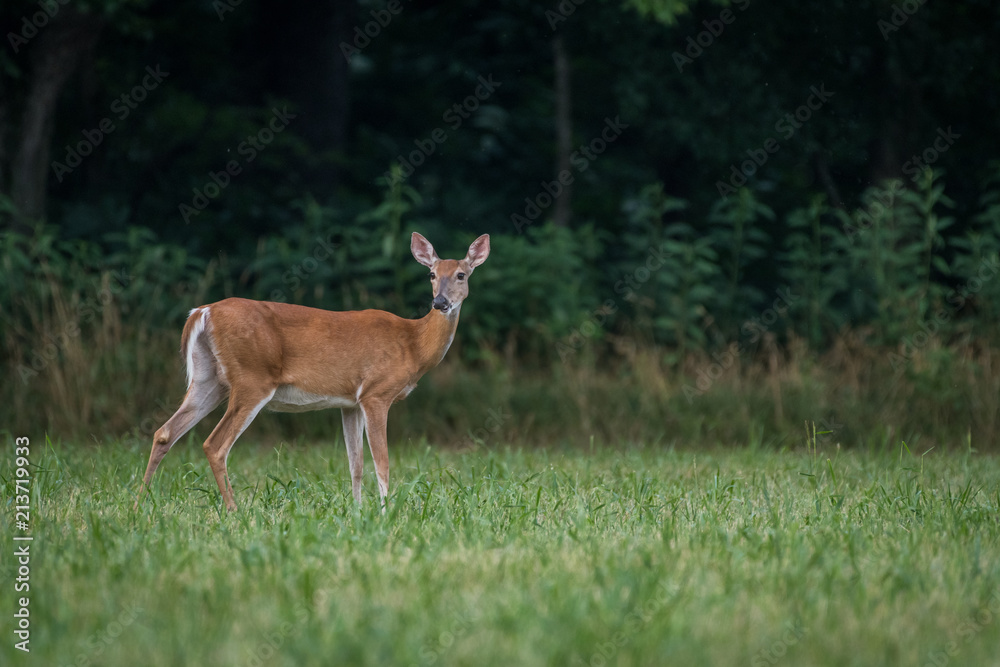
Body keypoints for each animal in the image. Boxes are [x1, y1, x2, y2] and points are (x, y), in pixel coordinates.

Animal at [135, 232, 490, 516]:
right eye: (431, 274)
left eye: (461, 274)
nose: (439, 302)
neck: (413, 344)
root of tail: (203, 311)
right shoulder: (377, 393)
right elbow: (382, 463)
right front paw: (385, 513)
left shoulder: (351, 402)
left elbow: (356, 464)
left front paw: (357, 512)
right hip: (252, 378)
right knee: (214, 444)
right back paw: (235, 512)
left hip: (210, 379)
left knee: (164, 432)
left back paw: (139, 504)